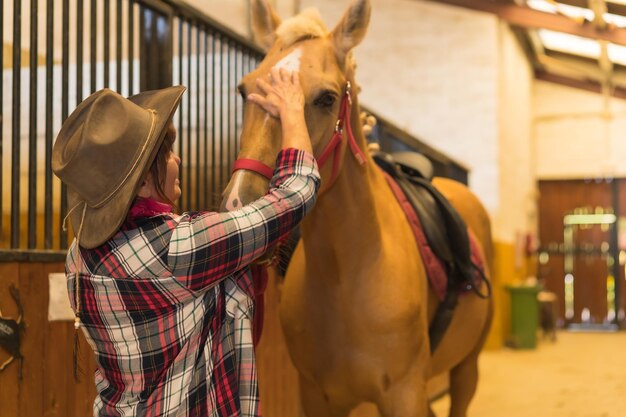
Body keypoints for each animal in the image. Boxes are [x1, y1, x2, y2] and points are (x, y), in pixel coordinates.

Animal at [219, 1, 492, 414]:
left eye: (326, 98)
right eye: (243, 89)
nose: (239, 204)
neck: (345, 279)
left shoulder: (405, 395)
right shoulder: (317, 397)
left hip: (467, 367)